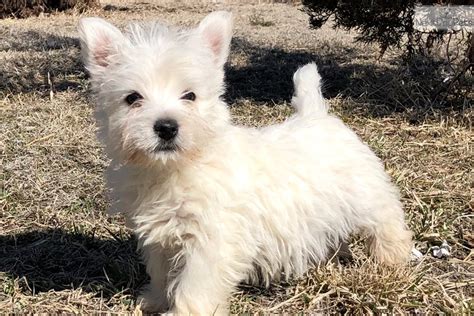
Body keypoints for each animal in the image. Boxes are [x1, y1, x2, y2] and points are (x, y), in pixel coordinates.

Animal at [77, 11, 412, 314]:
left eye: (190, 95)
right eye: (133, 98)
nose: (166, 127)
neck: (176, 167)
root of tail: (316, 114)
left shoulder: (212, 241)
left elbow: (193, 286)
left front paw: (183, 311)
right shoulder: (160, 238)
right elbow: (162, 273)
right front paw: (155, 301)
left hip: (367, 197)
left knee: (387, 223)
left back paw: (392, 259)